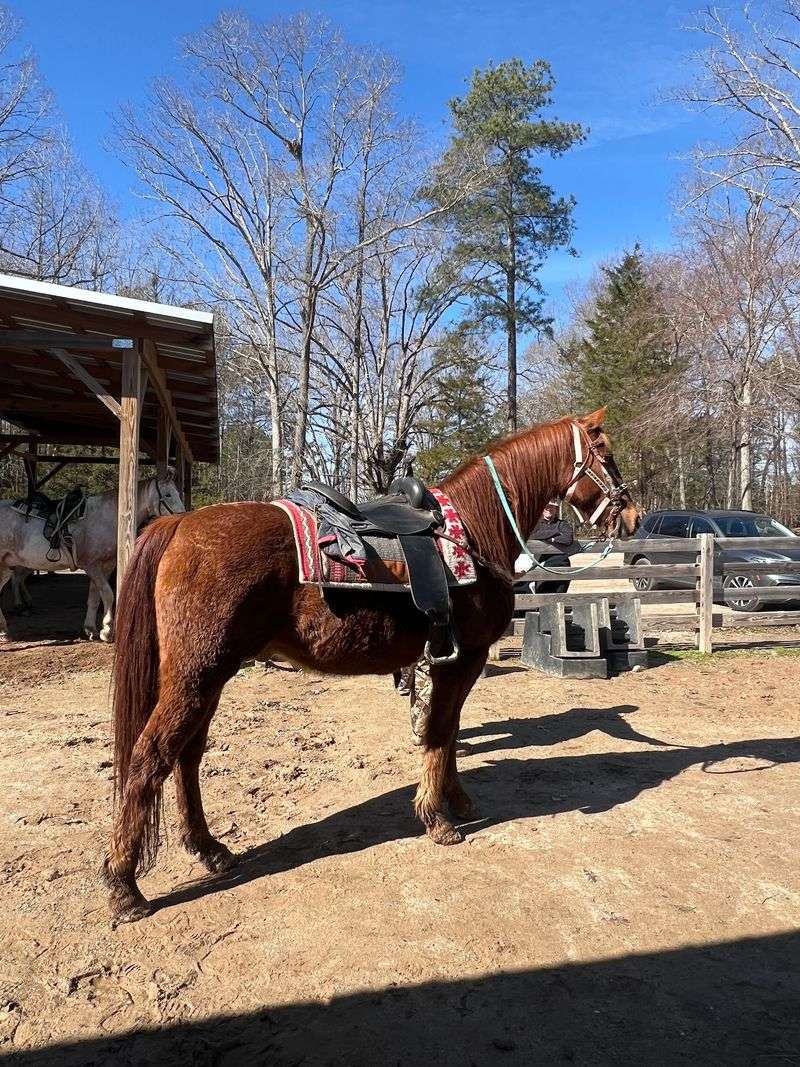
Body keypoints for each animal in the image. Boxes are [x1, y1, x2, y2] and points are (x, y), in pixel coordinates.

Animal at [0, 476, 184, 642]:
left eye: (177, 493)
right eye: (168, 495)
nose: (182, 517)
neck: (105, 518)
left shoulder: (106, 566)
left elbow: (94, 598)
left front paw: (91, 629)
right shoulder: (92, 566)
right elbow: (108, 594)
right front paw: (107, 631)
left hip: (6, 566)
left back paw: (5, 631)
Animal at [103, 408, 640, 923]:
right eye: (606, 455)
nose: (633, 515)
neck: (475, 530)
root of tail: (178, 526)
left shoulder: (451, 663)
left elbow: (448, 731)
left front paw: (457, 802)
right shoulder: (462, 659)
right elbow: (440, 731)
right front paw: (437, 819)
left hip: (209, 678)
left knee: (187, 758)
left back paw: (209, 849)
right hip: (196, 678)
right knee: (149, 758)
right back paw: (124, 887)